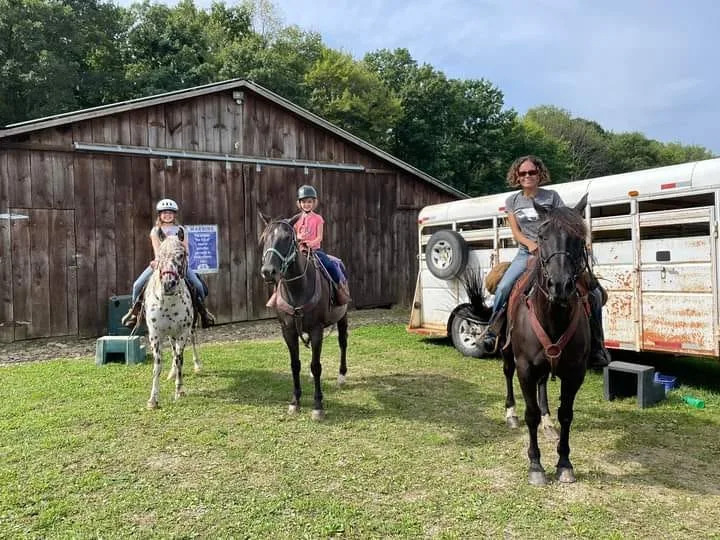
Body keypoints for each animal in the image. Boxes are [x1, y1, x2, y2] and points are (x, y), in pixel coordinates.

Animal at [144, 236, 198, 410]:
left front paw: (179, 391)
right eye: (160, 256)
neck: (168, 304)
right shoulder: (155, 336)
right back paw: (172, 373)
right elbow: (157, 366)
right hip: (169, 335)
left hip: (188, 331)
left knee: (190, 344)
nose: (169, 284)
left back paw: (197, 366)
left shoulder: (182, 333)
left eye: (181, 255)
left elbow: (180, 359)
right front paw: (153, 400)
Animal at [258, 213, 348, 420]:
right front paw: (295, 402)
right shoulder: (288, 331)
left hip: (343, 317)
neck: (297, 289)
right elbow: (295, 365)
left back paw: (341, 376)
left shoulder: (316, 331)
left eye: (288, 238)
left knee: (343, 343)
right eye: (265, 238)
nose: (268, 271)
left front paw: (318, 406)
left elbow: (316, 365)